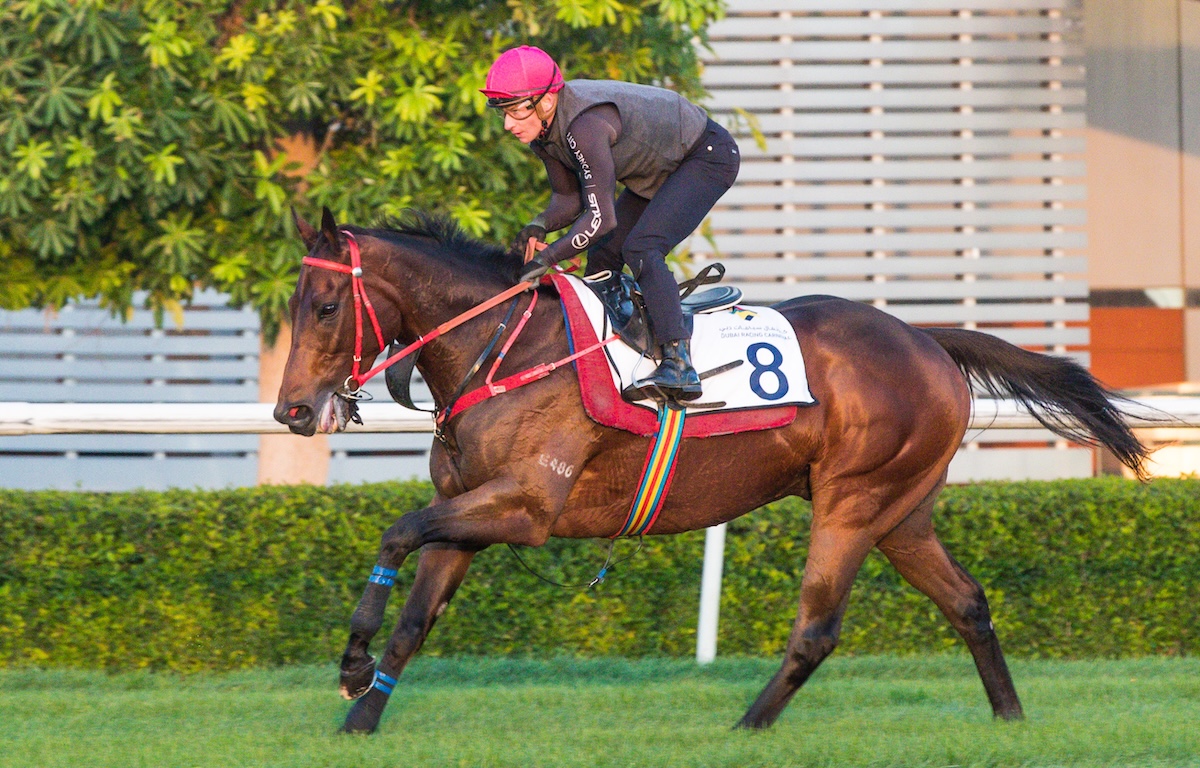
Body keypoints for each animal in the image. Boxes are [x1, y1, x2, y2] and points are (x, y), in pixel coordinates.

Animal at [276, 206, 1147, 734]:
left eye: (326, 306)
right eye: (292, 305)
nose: (292, 411)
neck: (506, 349)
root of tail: (927, 339)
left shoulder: (524, 507)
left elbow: (395, 533)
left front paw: (350, 666)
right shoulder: (468, 507)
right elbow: (416, 617)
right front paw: (361, 718)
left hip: (853, 501)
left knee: (818, 627)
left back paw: (747, 727)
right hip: (902, 512)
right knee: (967, 603)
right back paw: (1010, 720)